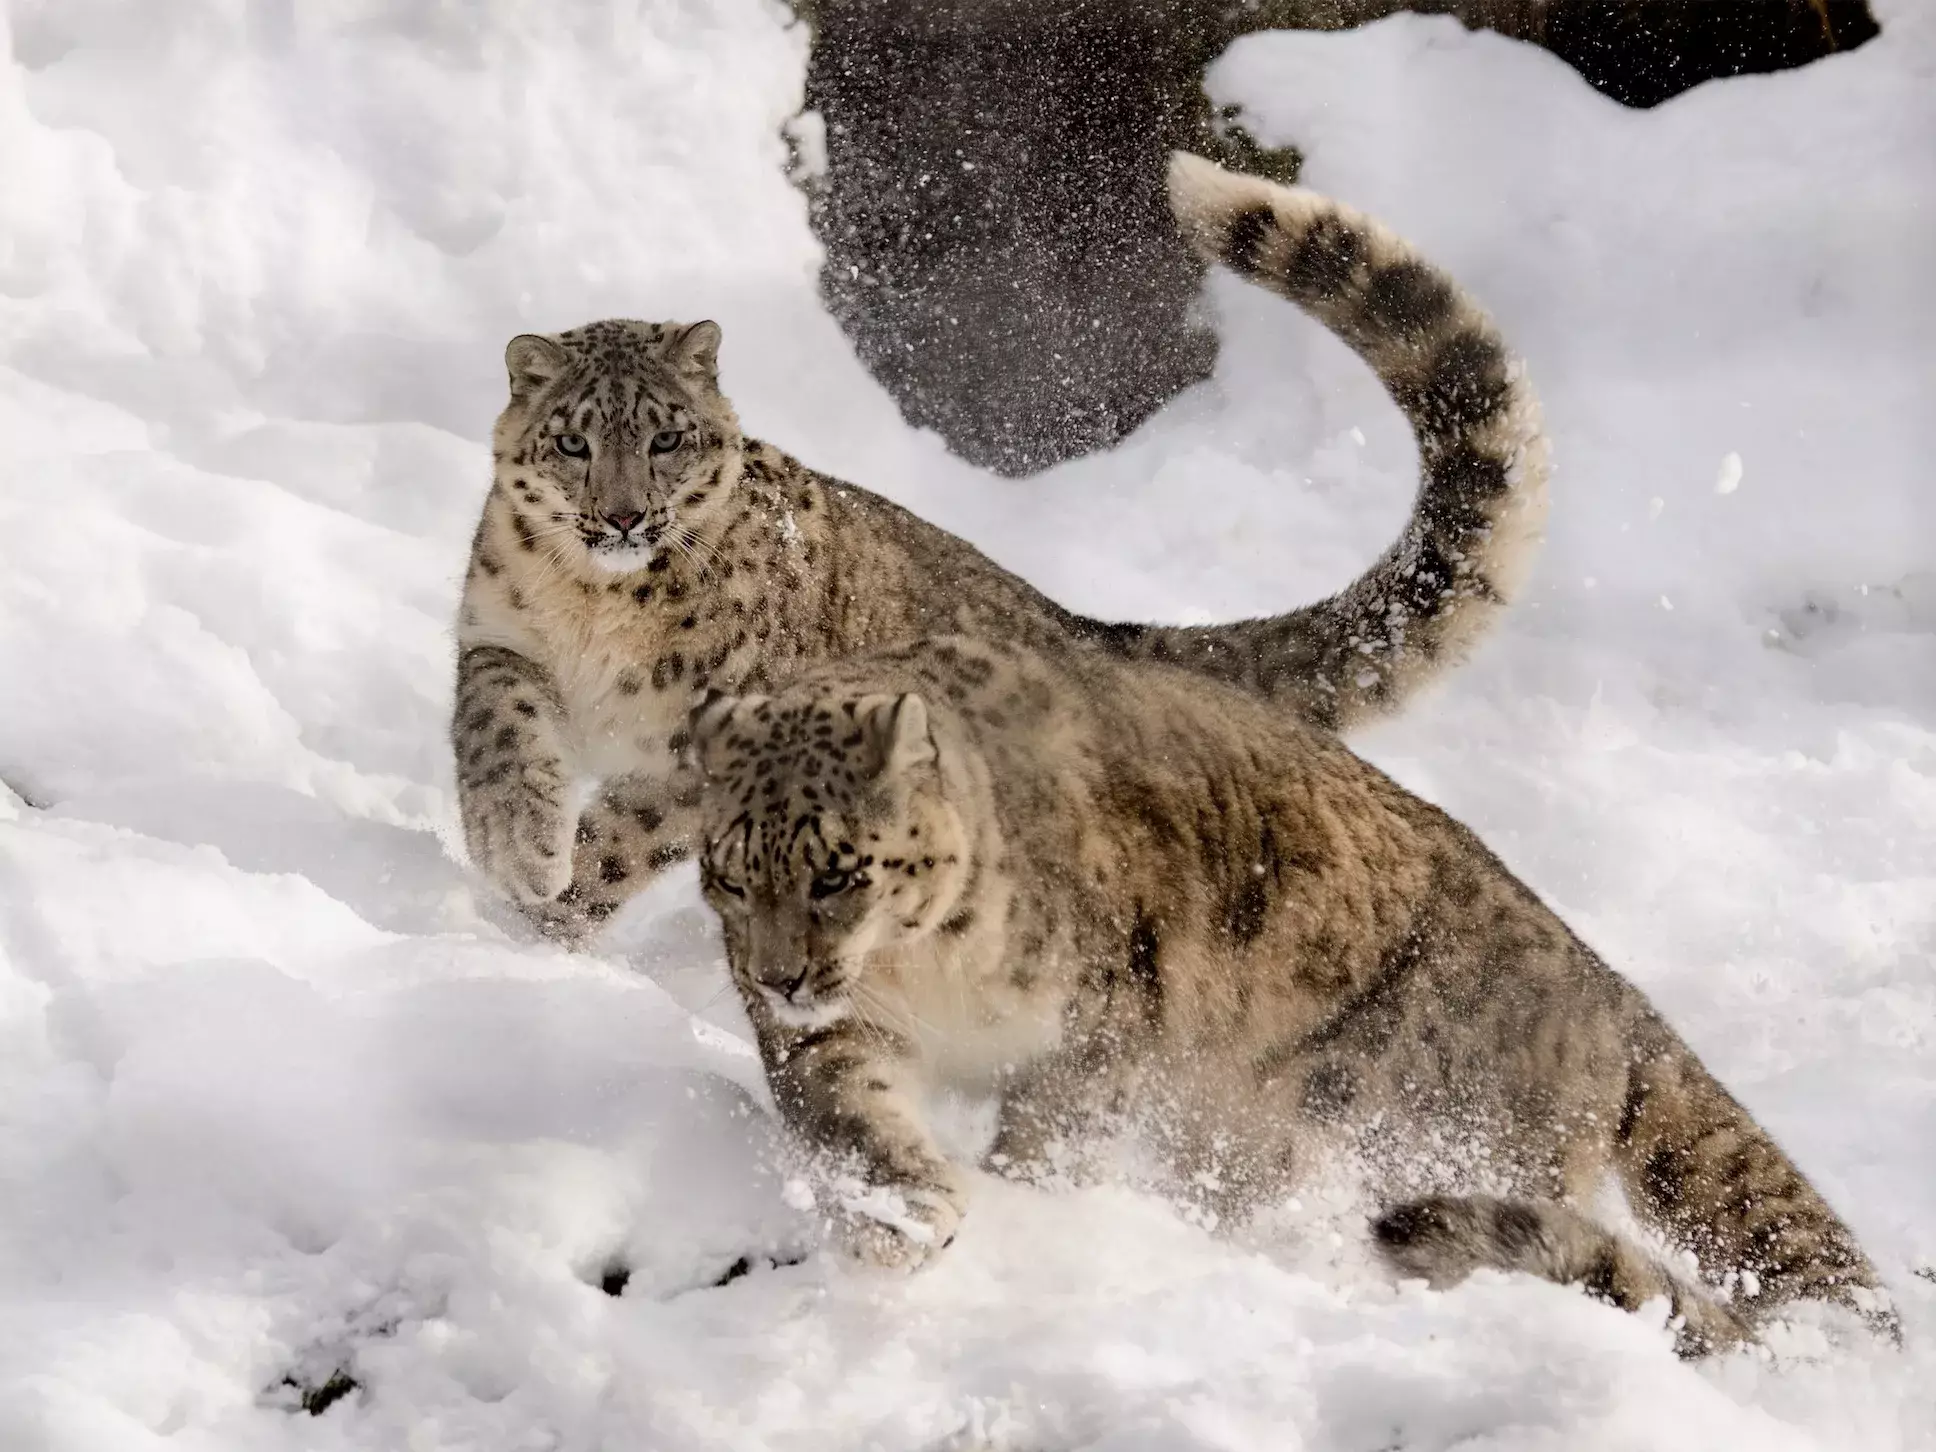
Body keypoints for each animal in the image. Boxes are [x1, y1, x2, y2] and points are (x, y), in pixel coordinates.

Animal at [449, 151, 1541, 944]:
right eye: (574, 441)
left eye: (666, 439)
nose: (624, 518)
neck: (598, 615)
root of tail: (1080, 627)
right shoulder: (499, 634)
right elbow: (493, 729)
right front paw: (516, 847)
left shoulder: (712, 738)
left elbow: (625, 837)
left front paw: (543, 913)